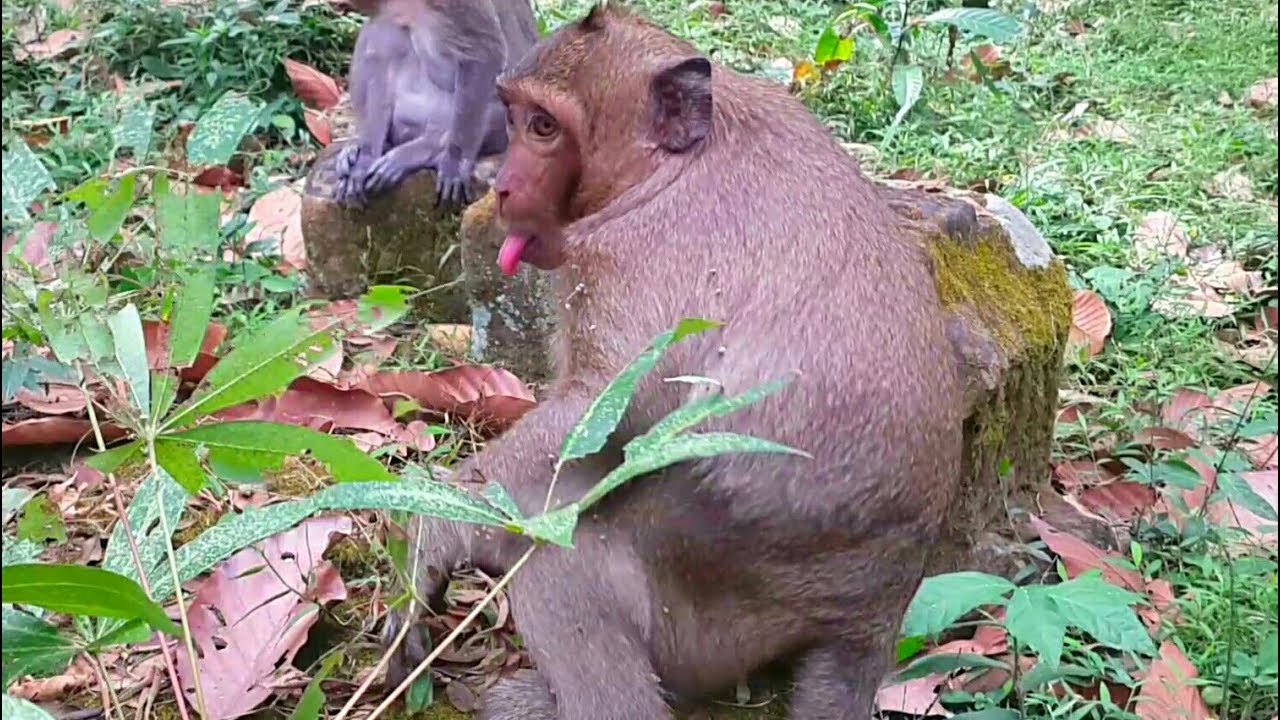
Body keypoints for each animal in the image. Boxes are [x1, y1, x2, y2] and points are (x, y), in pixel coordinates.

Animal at [381, 5, 965, 719]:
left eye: (545, 127)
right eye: (514, 118)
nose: (507, 186)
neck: (666, 170)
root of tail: (880, 608)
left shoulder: (631, 258)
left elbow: (611, 415)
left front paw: (430, 532)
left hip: (724, 596)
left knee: (564, 571)